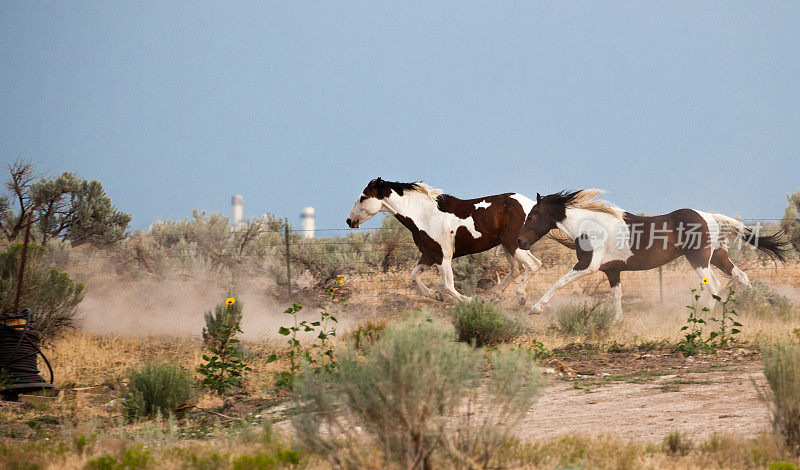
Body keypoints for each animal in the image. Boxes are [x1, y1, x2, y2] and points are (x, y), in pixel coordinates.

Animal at [346, 178, 560, 302]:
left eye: (363, 197)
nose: (349, 221)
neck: (425, 216)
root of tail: (531, 205)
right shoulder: (429, 255)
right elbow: (414, 276)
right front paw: (435, 295)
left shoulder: (443, 257)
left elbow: (448, 286)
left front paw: (469, 300)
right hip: (508, 246)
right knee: (518, 269)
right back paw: (495, 295)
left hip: (514, 245)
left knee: (533, 265)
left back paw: (520, 296)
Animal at [516, 190, 792, 320]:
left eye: (533, 215)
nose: (520, 241)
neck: (590, 225)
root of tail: (709, 217)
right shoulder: (612, 270)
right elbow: (617, 295)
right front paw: (617, 321)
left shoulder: (587, 265)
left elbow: (558, 282)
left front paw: (534, 309)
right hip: (718, 256)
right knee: (741, 277)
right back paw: (753, 308)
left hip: (699, 259)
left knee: (713, 284)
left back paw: (704, 315)